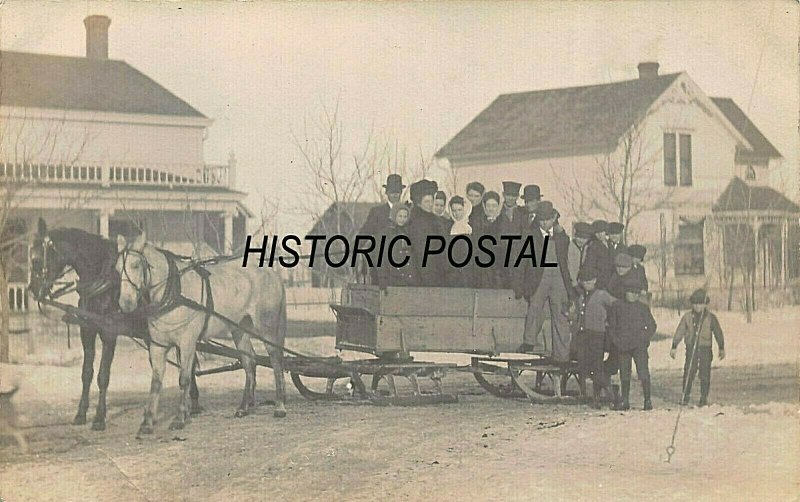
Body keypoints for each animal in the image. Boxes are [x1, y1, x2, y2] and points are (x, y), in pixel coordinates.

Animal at [114, 233, 286, 434]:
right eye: (117, 269)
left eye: (136, 265)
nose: (125, 304)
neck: (174, 291)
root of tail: (271, 272)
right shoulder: (158, 346)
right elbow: (155, 383)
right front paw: (147, 423)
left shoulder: (187, 342)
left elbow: (184, 379)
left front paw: (180, 418)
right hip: (239, 329)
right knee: (249, 362)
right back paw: (243, 408)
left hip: (267, 327)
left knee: (275, 360)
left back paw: (280, 406)